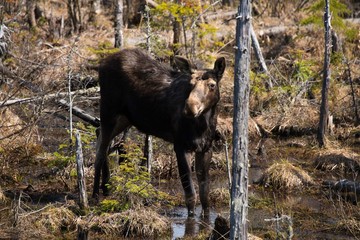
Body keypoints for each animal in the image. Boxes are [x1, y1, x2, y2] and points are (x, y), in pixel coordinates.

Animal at [94, 47, 226, 217]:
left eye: (212, 85)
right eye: (190, 84)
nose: (189, 108)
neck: (203, 125)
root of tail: (102, 63)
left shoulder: (206, 148)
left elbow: (205, 196)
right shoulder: (181, 146)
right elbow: (190, 194)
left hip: (125, 118)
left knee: (99, 134)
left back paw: (106, 187)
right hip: (109, 110)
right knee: (100, 151)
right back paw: (94, 196)